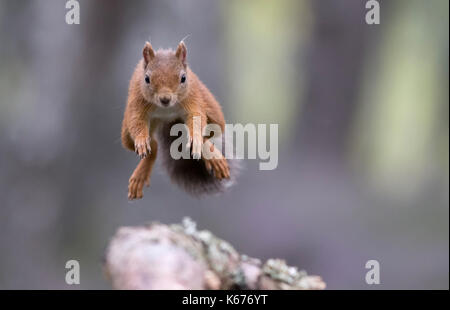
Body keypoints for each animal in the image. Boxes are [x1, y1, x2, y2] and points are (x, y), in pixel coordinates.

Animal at [121, 41, 237, 199]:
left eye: (183, 78)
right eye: (146, 79)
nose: (165, 99)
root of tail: (168, 119)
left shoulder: (192, 98)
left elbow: (196, 117)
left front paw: (196, 138)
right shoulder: (138, 101)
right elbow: (136, 121)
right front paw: (141, 140)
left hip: (214, 113)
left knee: (210, 132)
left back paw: (210, 154)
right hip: (127, 135)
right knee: (152, 146)